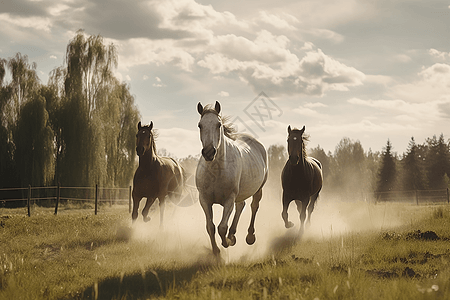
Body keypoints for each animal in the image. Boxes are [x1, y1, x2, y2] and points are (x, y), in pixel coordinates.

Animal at [196, 101, 268, 255]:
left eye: (218, 125)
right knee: (241, 205)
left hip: (258, 189)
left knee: (254, 206)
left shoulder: (229, 199)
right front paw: (216, 250)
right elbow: (210, 227)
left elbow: (222, 227)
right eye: (200, 125)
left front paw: (226, 243)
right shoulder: (204, 199)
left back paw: (249, 236)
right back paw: (233, 234)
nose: (209, 152)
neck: (216, 171)